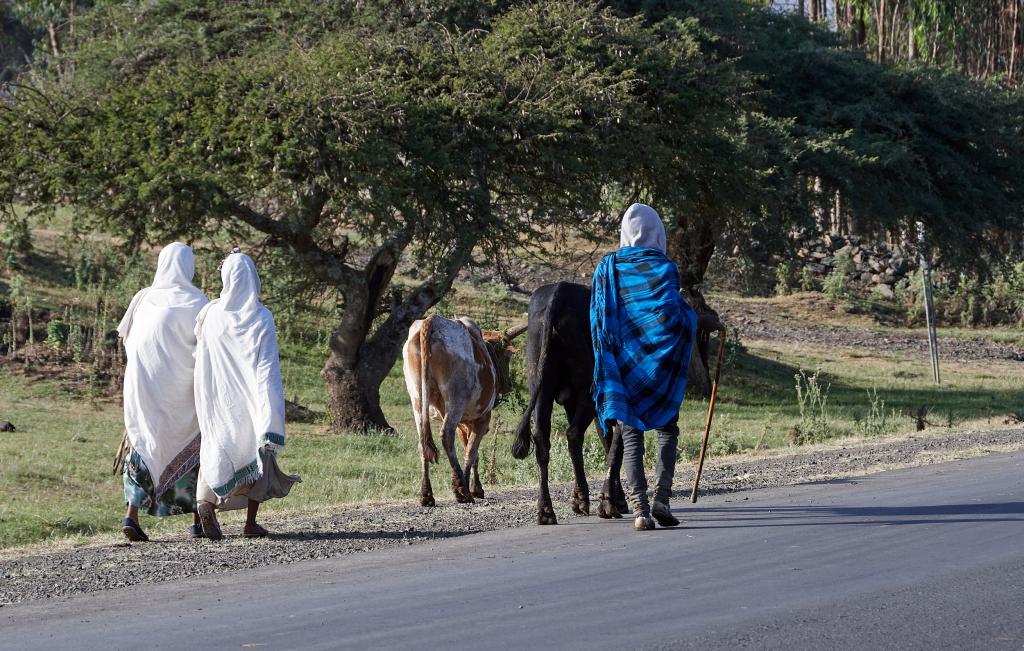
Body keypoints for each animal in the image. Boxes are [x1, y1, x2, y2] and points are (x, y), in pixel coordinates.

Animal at [401, 317, 528, 505]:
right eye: (507, 356)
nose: (509, 385)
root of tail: (433, 320)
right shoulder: (482, 419)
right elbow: (471, 451)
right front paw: (471, 488)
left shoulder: (464, 423)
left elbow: (470, 450)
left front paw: (474, 486)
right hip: (456, 400)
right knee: (446, 436)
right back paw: (461, 490)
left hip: (417, 398)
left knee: (422, 442)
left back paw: (427, 494)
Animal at [509, 282, 626, 528]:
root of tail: (559, 291)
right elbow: (616, 447)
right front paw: (613, 502)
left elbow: (608, 442)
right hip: (588, 393)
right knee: (573, 434)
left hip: (541, 388)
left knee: (544, 440)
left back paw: (547, 510)